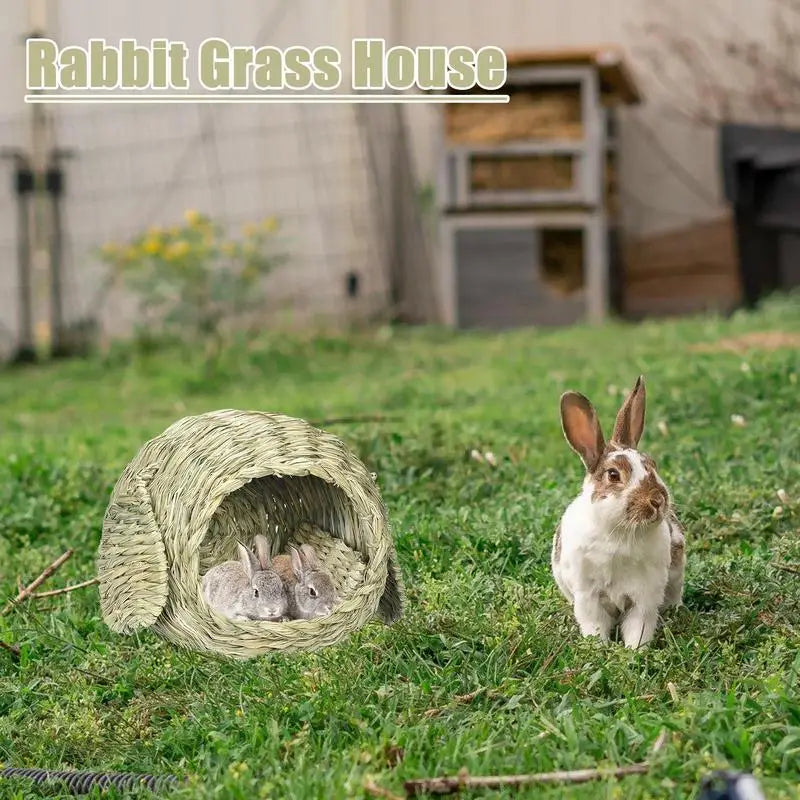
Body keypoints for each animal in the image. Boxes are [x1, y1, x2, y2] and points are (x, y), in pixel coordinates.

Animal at [551, 375, 686, 649]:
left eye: (653, 465)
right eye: (613, 475)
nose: (658, 500)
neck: (620, 533)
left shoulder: (644, 597)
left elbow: (638, 628)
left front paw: (635, 652)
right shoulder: (588, 597)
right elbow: (594, 626)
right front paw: (599, 649)